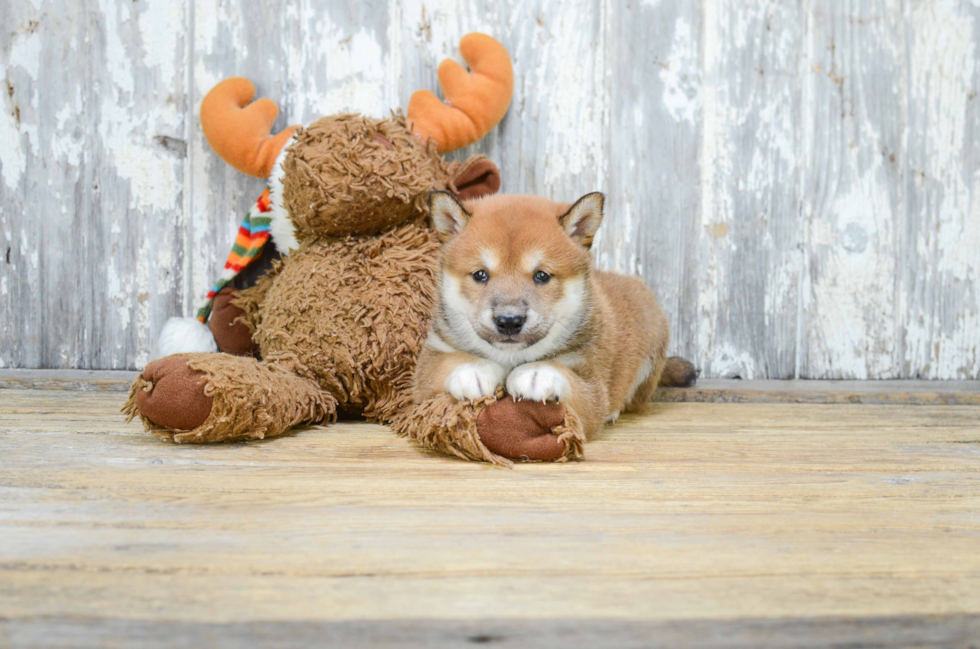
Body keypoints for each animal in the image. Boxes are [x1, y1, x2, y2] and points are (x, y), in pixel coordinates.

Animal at [414, 190, 696, 438]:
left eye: (542, 276)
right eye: (480, 274)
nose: (509, 321)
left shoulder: (588, 382)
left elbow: (564, 375)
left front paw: (538, 373)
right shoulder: (426, 371)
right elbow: (448, 364)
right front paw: (473, 370)